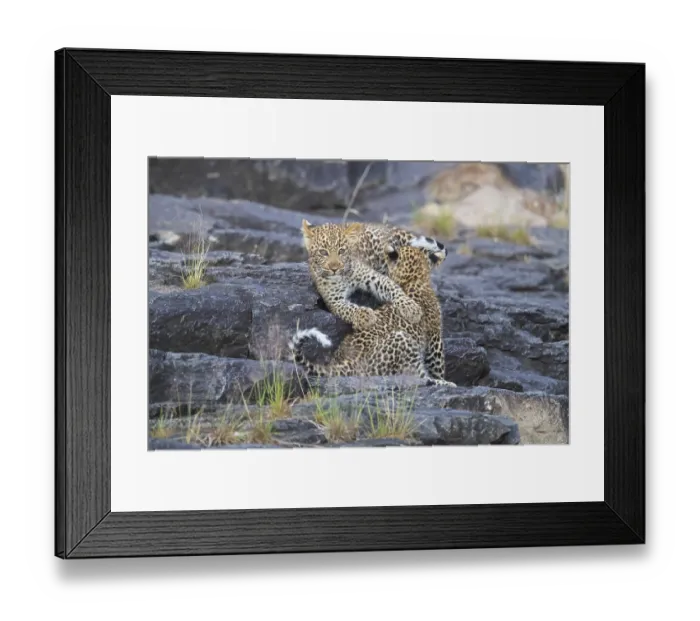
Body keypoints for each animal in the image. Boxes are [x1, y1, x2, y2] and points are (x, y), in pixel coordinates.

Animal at [290, 242, 456, 386]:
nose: (445, 250)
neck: (410, 279)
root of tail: (352, 363)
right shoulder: (434, 336)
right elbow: (437, 364)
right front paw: (441, 377)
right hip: (401, 339)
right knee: (417, 377)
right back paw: (446, 383)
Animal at [300, 219, 447, 330]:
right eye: (323, 252)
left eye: (341, 251)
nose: (334, 268)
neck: (343, 276)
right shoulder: (334, 300)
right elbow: (349, 309)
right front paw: (366, 315)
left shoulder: (374, 277)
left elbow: (394, 289)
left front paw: (411, 307)